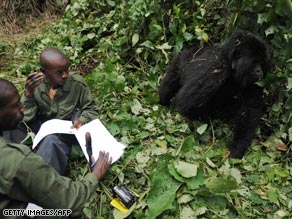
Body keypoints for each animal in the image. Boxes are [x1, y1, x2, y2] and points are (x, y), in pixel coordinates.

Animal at [159, 30, 270, 158]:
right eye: (255, 62)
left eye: (261, 63)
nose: (260, 71)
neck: (231, 62)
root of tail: (191, 49)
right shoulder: (216, 66)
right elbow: (187, 102)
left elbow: (250, 110)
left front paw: (237, 148)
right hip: (179, 61)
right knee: (168, 86)